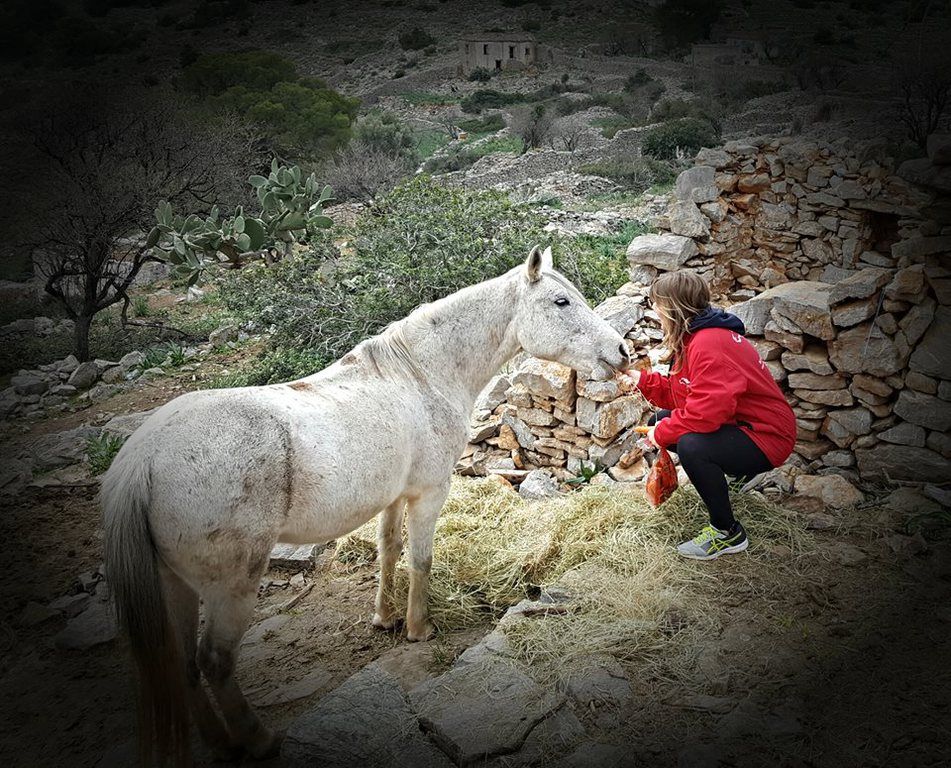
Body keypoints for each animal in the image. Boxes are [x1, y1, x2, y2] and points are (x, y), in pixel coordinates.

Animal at [103, 245, 631, 764]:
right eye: (561, 302)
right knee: (214, 660)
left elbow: (388, 551)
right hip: (230, 583)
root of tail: (143, 458)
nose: (622, 352)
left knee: (184, 661)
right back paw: (258, 739)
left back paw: (219, 740)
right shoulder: (428, 493)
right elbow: (420, 559)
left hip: (175, 582)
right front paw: (418, 628)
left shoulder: (394, 497)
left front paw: (385, 618)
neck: (421, 377)